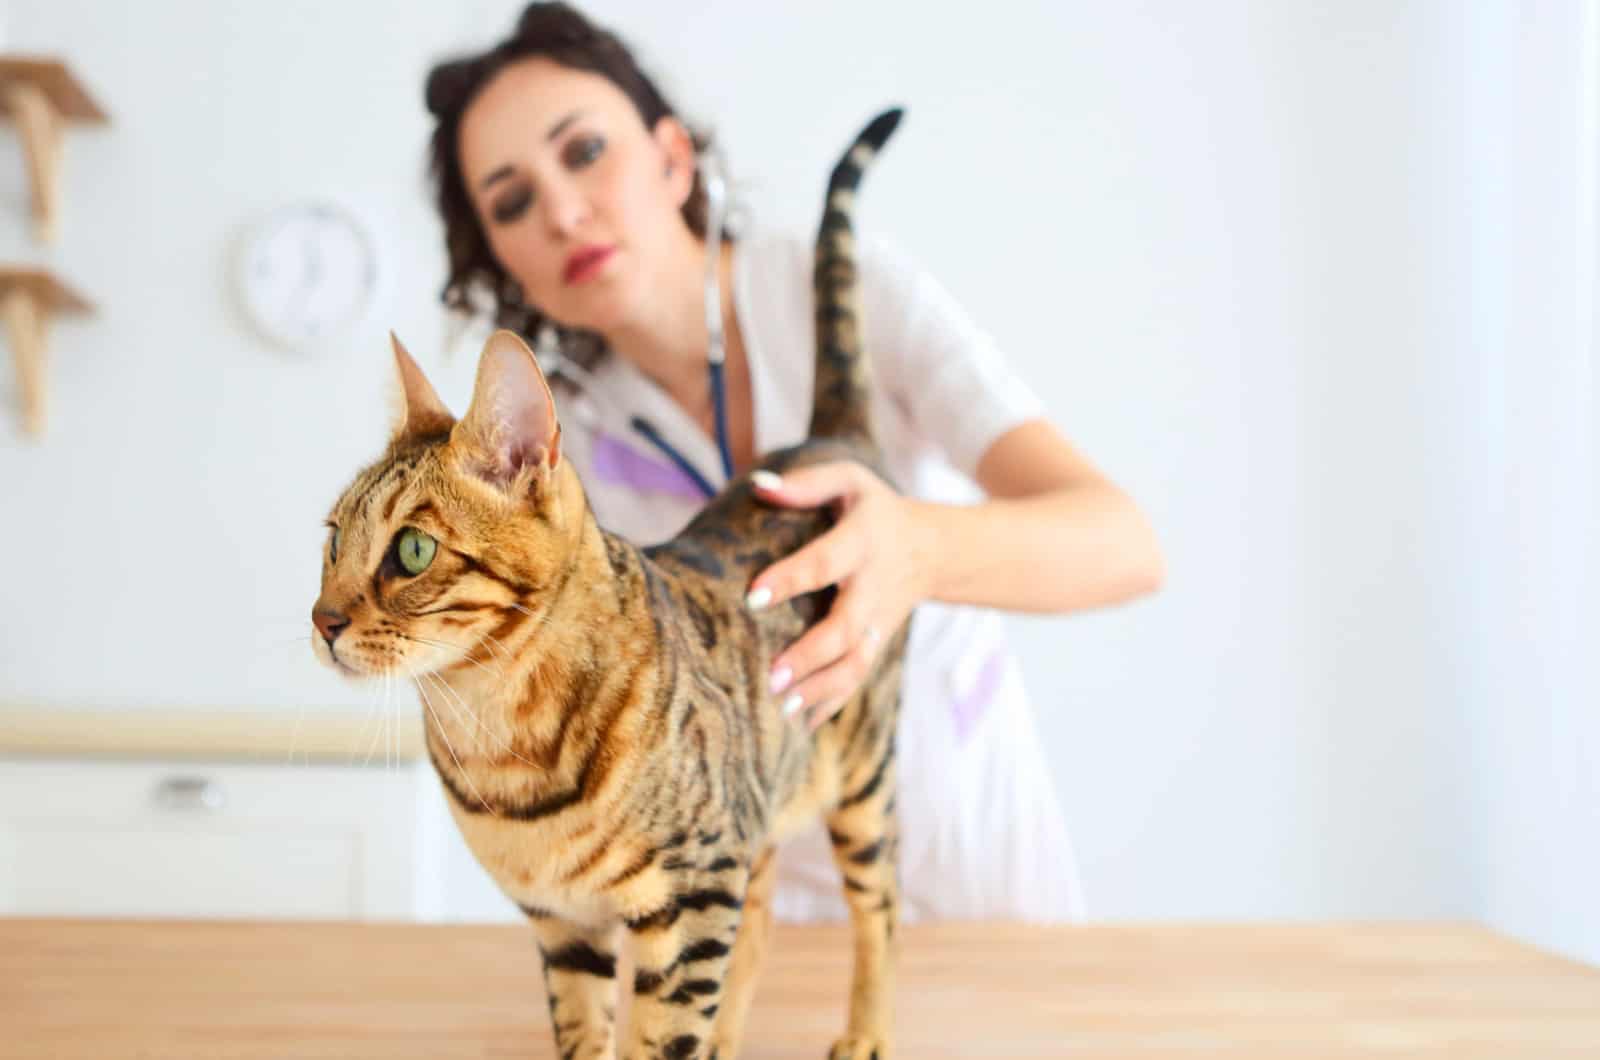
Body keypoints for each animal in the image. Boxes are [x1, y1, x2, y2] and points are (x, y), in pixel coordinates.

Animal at [312, 109, 908, 1060]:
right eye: (333, 539)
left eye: (409, 551)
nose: (322, 619)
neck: (496, 736)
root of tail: (825, 444)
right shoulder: (563, 923)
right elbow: (583, 1034)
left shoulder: (694, 897)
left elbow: (662, 1039)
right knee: (767, 913)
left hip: (860, 773)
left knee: (880, 906)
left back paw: (866, 1032)